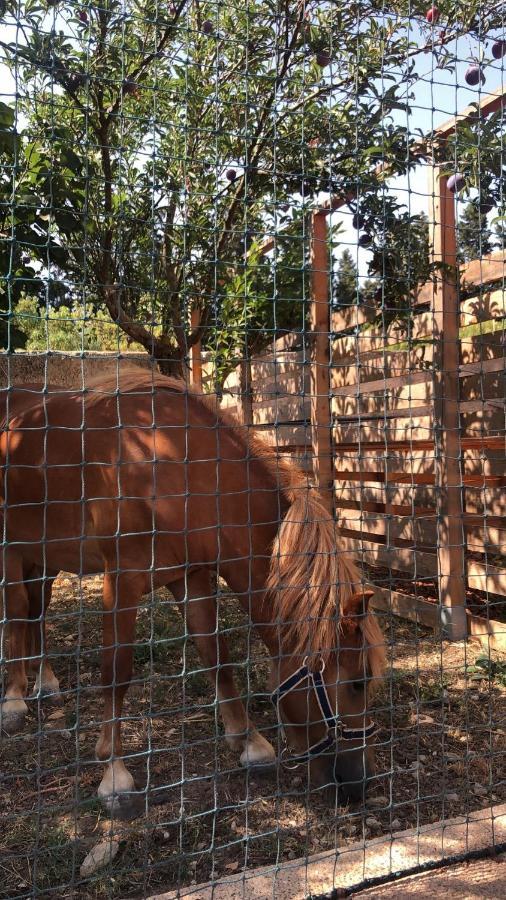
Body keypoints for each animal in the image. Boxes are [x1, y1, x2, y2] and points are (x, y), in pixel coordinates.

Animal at [0, 372, 384, 816]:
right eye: (357, 682)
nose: (360, 782)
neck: (169, 466)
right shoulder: (122, 581)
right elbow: (117, 671)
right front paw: (114, 774)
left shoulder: (192, 577)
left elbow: (216, 655)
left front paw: (249, 741)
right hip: (13, 549)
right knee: (17, 609)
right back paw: (14, 698)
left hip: (44, 555)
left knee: (37, 610)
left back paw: (43, 680)